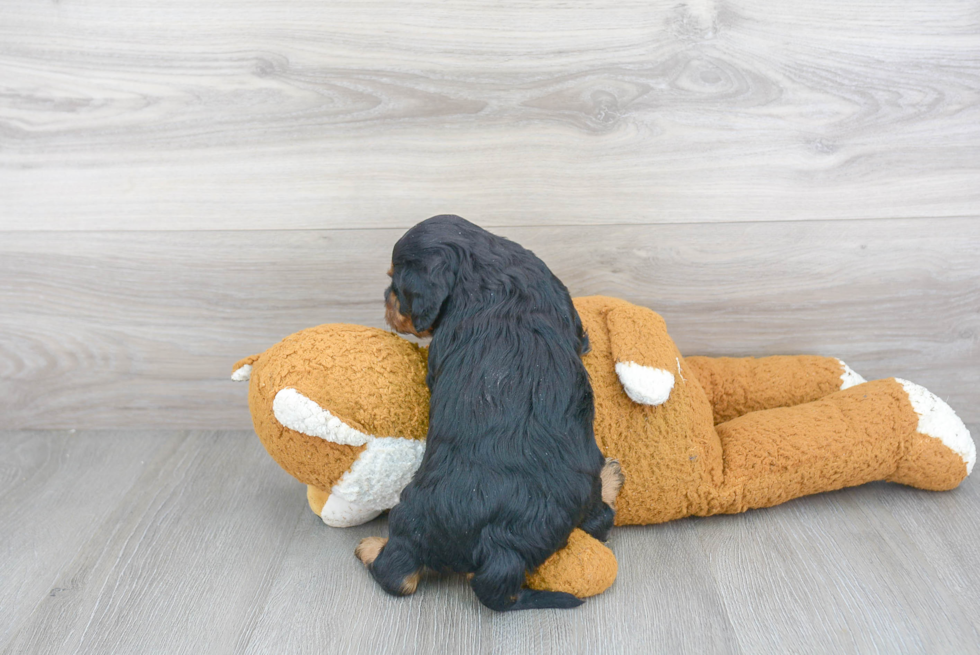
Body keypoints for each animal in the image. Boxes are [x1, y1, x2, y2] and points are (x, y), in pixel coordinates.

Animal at [352, 215, 616, 608]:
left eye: (397, 285)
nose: (385, 300)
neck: (483, 267)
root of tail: (498, 549)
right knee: (601, 521)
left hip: (411, 516)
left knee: (398, 575)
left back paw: (371, 547)